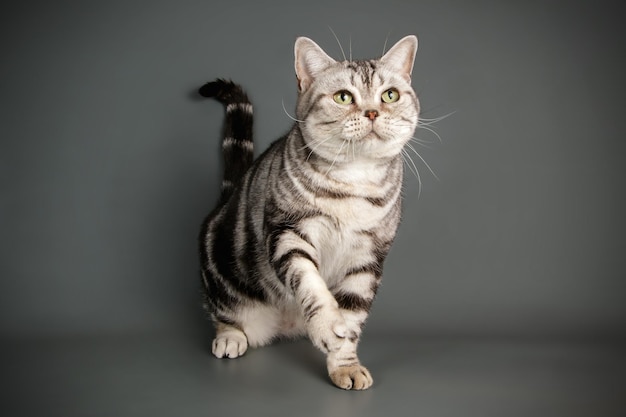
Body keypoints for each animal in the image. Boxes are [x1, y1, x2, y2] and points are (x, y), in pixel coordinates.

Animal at [197, 35, 416, 390]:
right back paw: (231, 336)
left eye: (390, 95)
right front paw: (328, 325)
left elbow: (352, 316)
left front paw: (344, 364)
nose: (372, 111)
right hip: (219, 265)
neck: (354, 182)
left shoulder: (368, 257)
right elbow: (311, 283)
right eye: (344, 97)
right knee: (221, 311)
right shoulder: (288, 233)